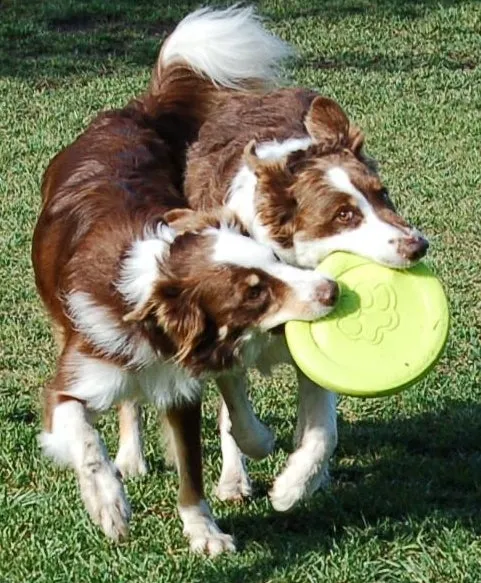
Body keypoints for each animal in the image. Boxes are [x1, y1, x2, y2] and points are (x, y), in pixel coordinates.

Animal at [31, 6, 338, 556]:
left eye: (273, 260)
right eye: (253, 292)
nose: (331, 290)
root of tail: (129, 113)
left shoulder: (181, 391)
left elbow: (192, 471)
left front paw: (204, 532)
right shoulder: (71, 381)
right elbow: (84, 440)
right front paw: (109, 504)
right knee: (124, 408)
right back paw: (128, 461)